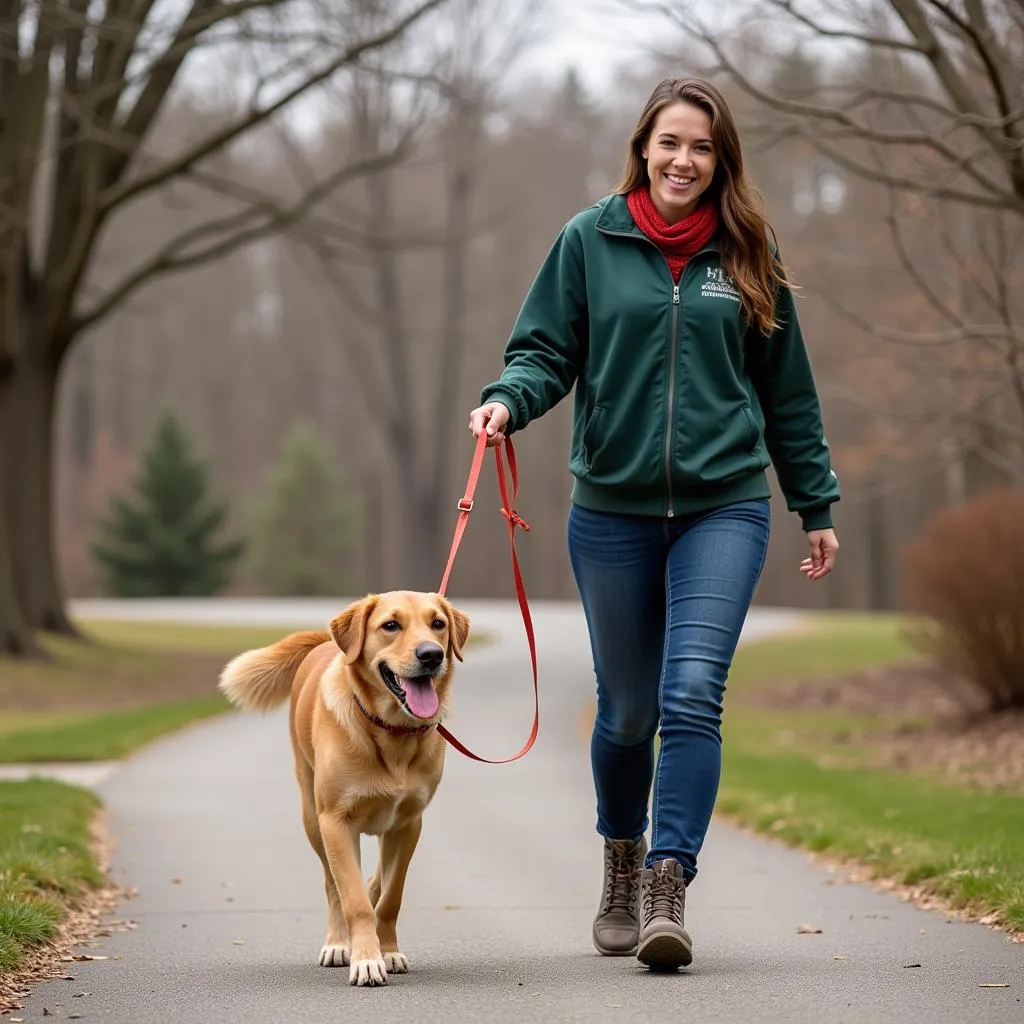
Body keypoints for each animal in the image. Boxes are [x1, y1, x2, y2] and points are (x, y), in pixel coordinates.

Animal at [219, 593, 471, 983]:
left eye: (438, 624)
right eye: (391, 625)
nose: (431, 655)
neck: (390, 731)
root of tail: (324, 642)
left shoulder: (408, 824)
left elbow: (390, 896)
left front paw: (388, 950)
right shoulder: (335, 822)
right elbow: (353, 899)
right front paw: (366, 959)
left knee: (375, 880)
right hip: (312, 818)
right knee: (333, 885)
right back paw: (338, 944)